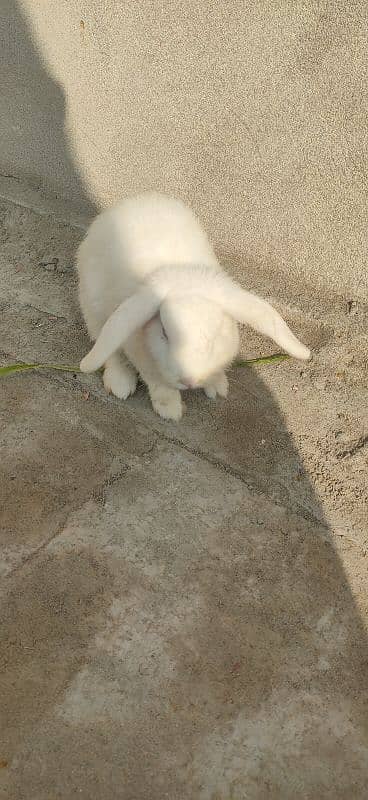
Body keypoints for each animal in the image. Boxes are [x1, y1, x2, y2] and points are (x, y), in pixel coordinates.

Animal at [77, 191, 310, 422]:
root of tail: (132, 203)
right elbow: (159, 384)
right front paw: (170, 410)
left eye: (215, 337)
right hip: (94, 306)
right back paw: (120, 384)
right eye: (164, 333)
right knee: (107, 347)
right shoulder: (142, 355)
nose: (189, 381)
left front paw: (217, 386)